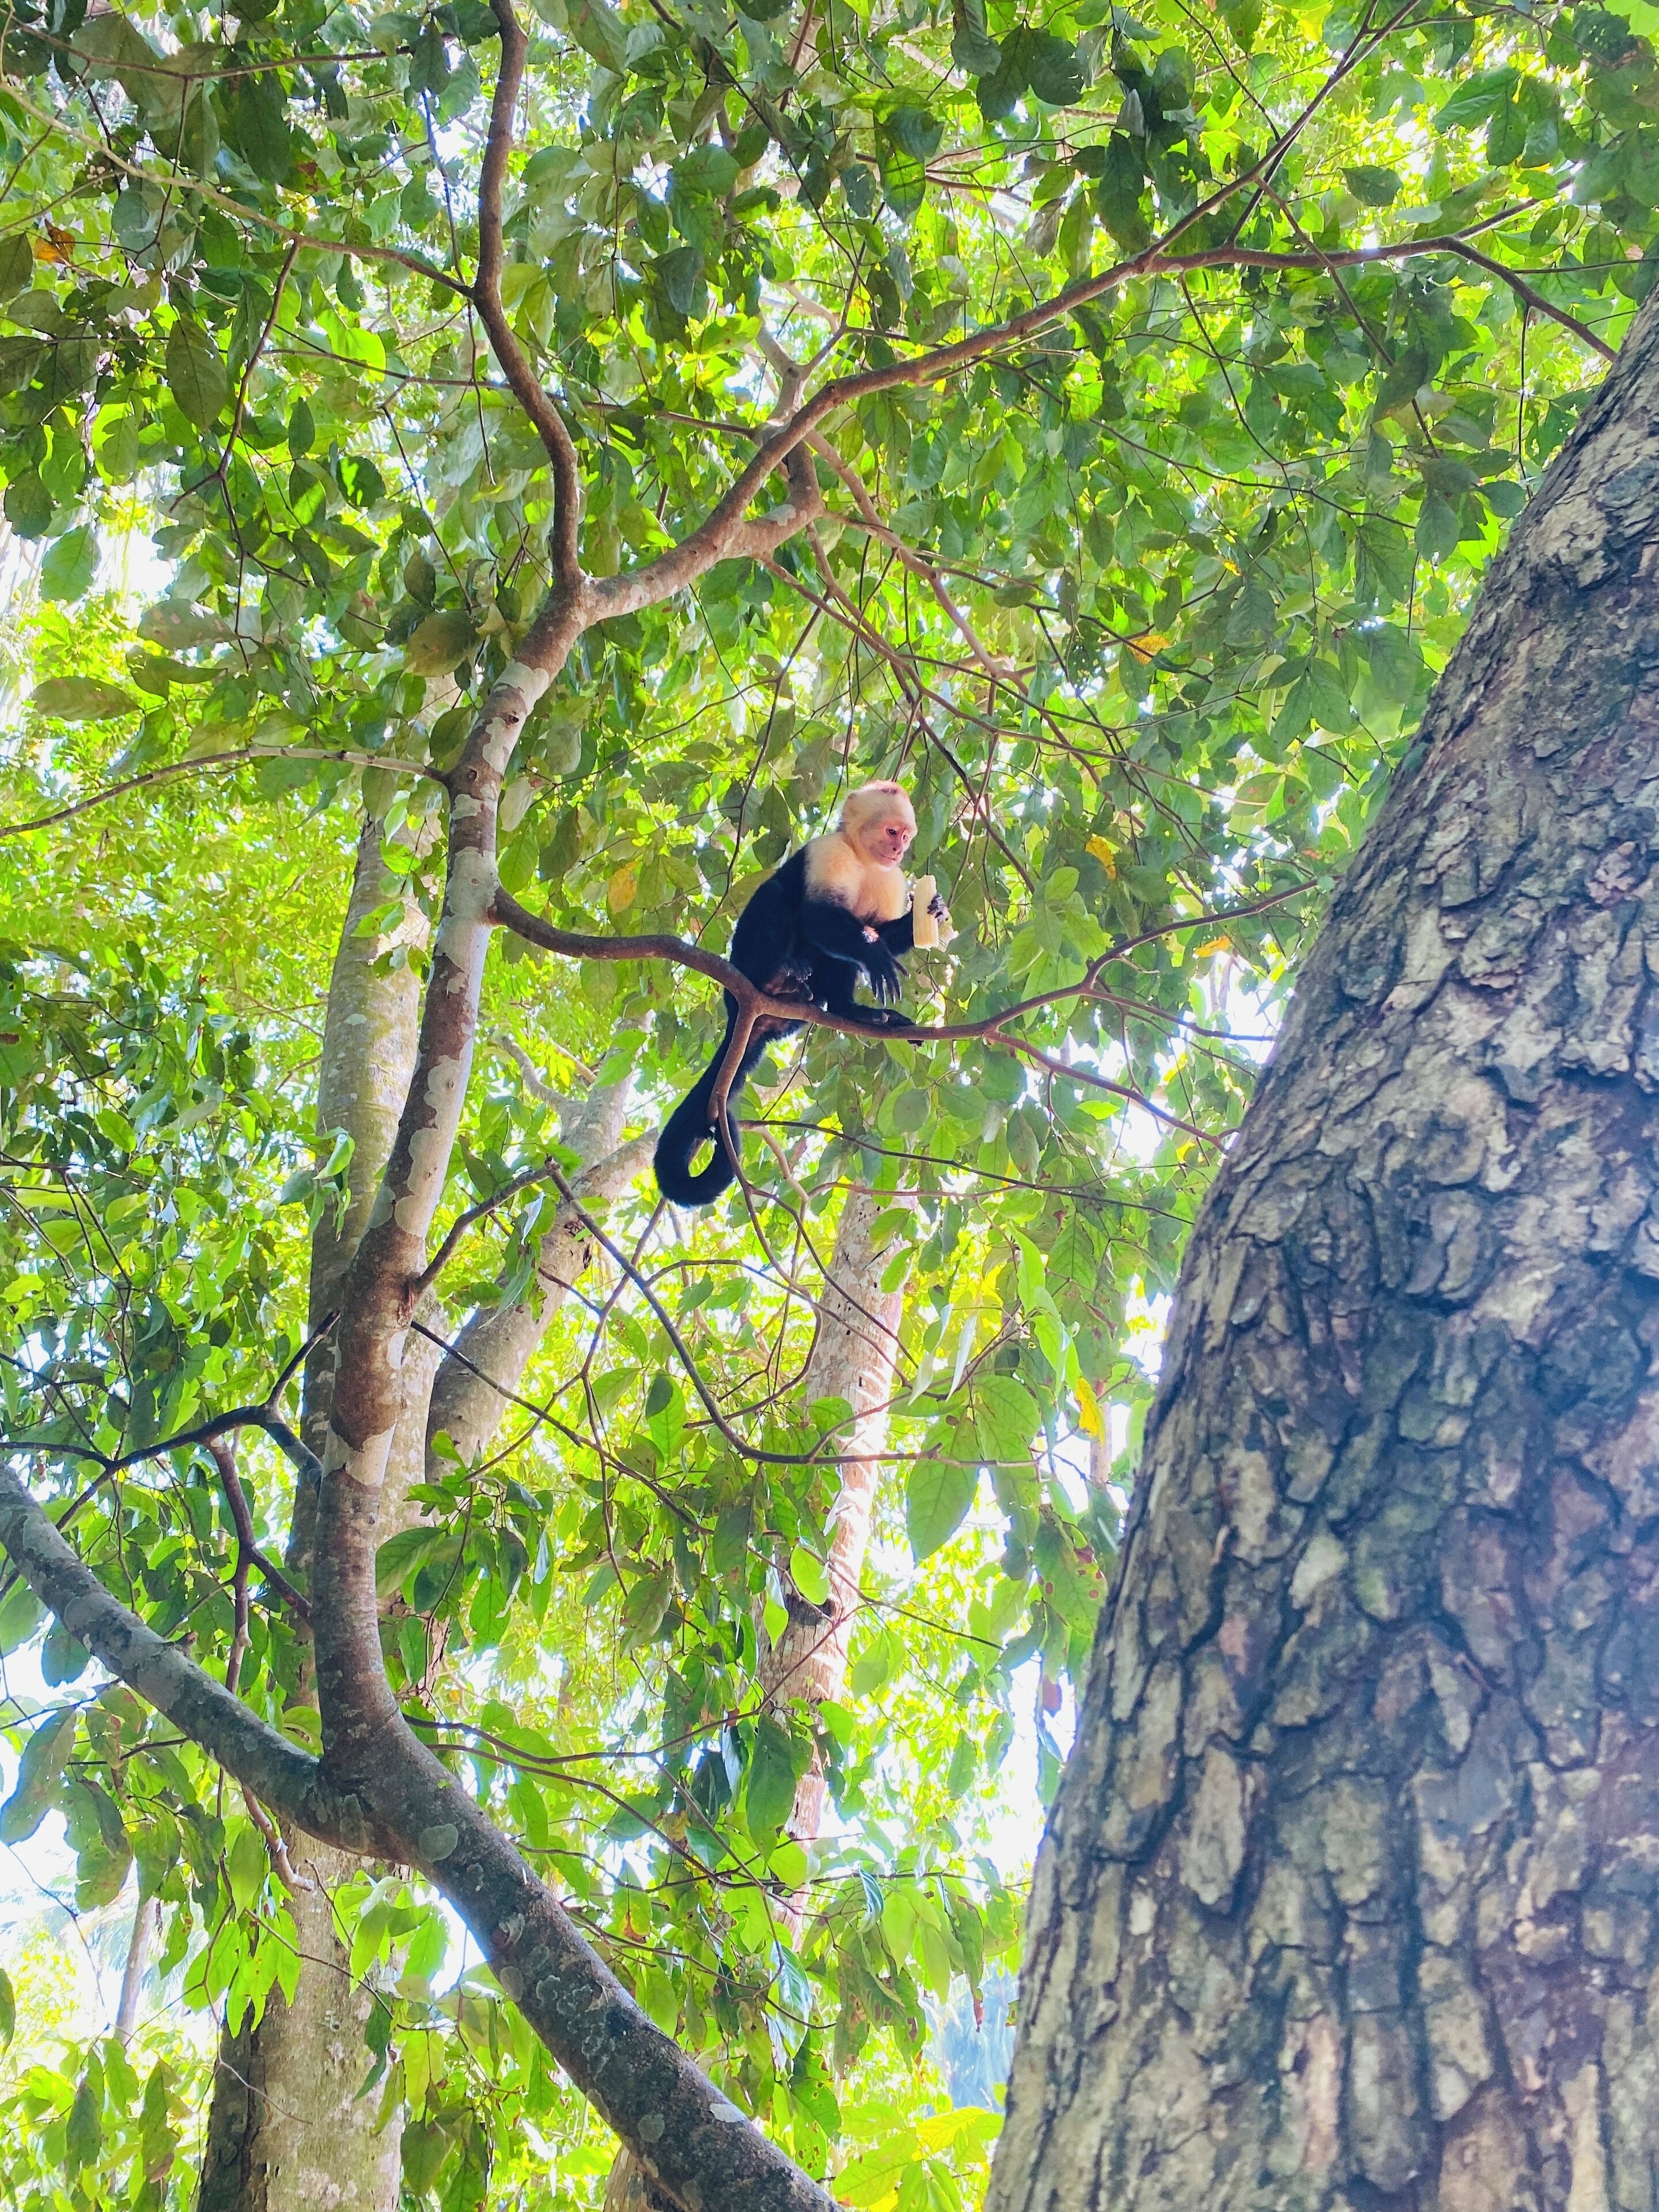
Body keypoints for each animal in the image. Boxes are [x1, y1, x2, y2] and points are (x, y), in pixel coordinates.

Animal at [653, 782, 949, 1208]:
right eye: (891, 832)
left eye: (906, 836)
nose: (898, 850)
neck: (863, 860)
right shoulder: (828, 852)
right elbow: (817, 915)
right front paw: (874, 953)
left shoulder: (891, 880)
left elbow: (877, 931)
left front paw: (927, 915)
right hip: (742, 968)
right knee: (777, 895)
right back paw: (776, 977)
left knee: (833, 959)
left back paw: (849, 1010)